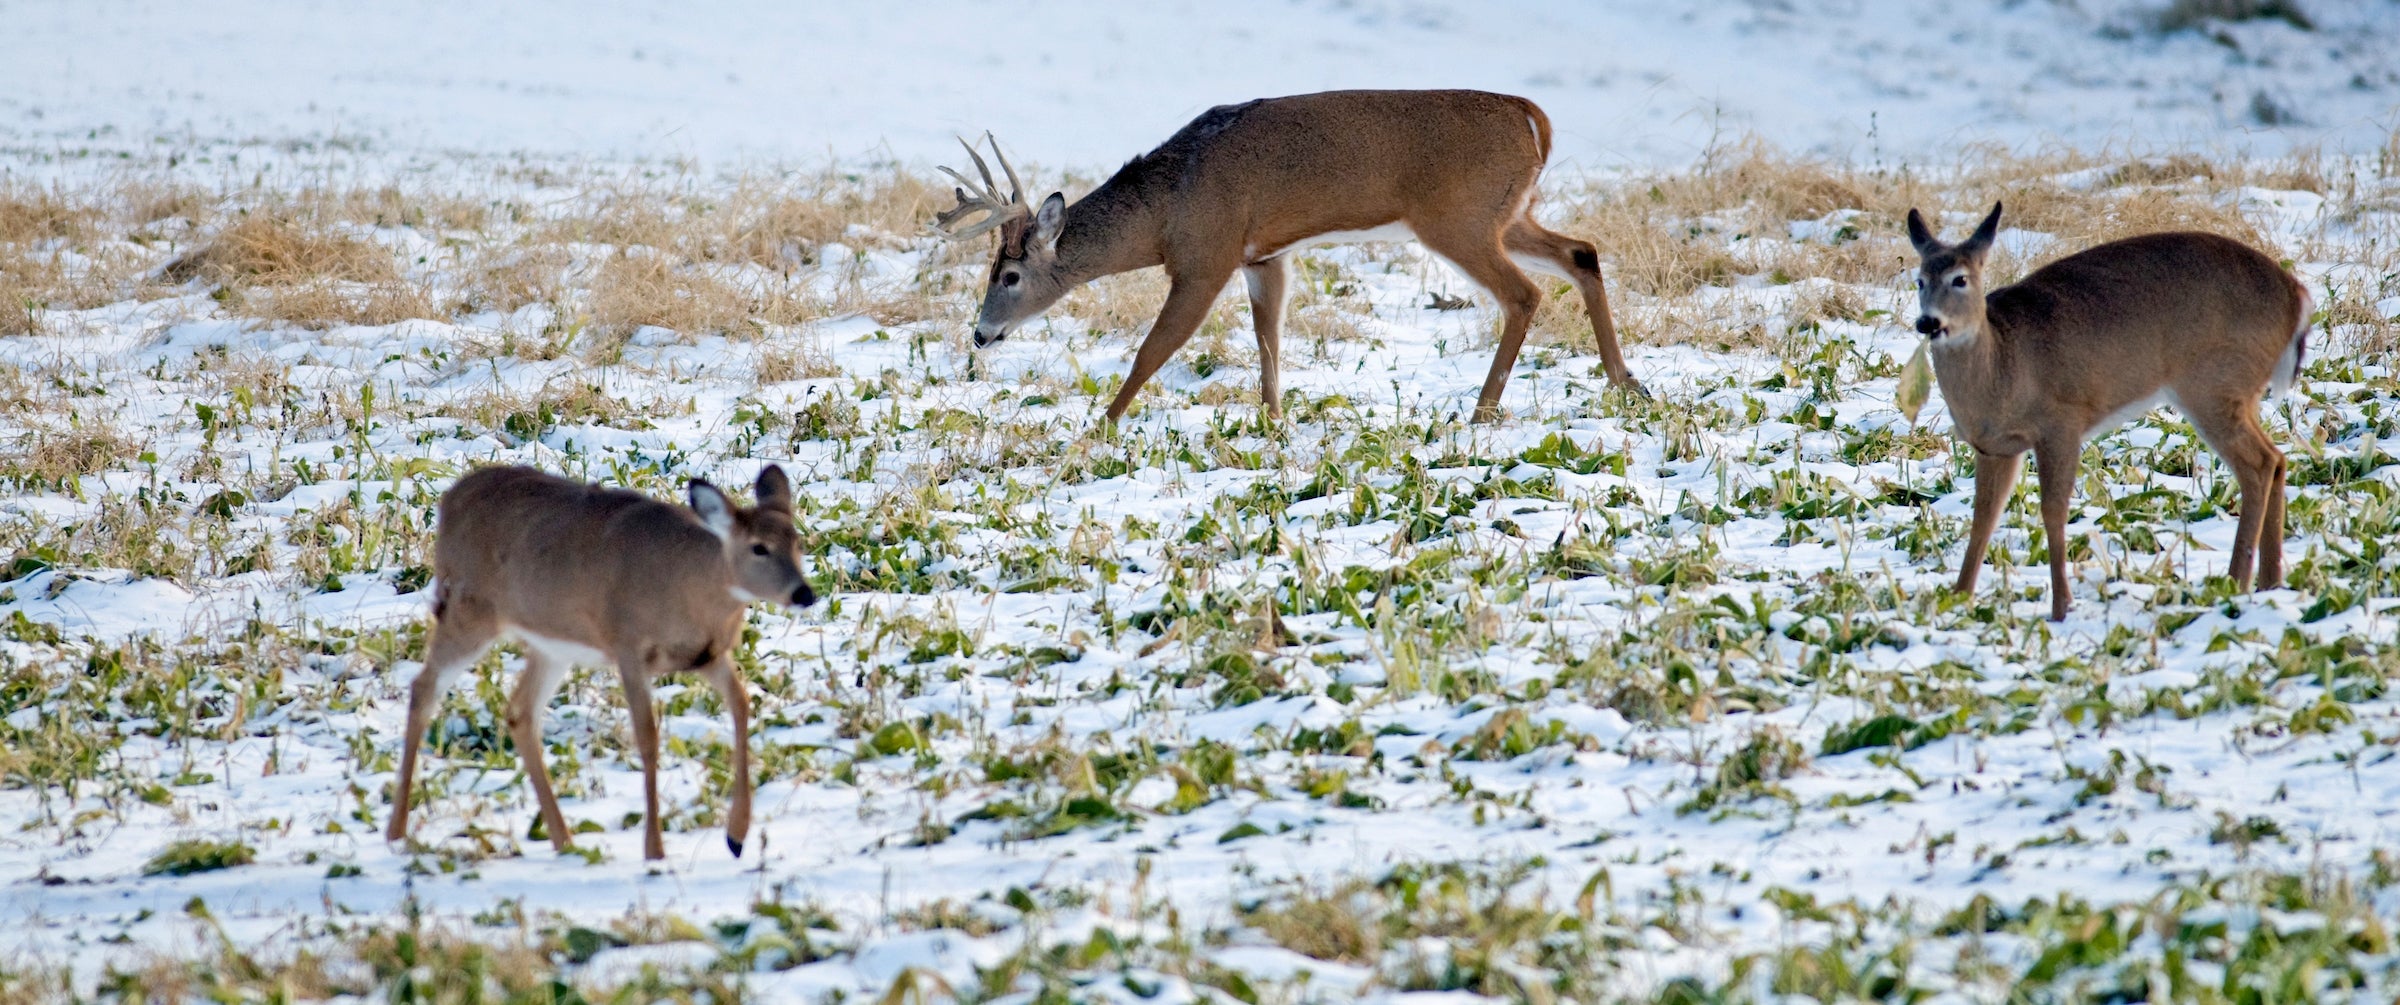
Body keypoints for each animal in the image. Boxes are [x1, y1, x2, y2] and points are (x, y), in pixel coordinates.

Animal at [385, 464, 817, 861]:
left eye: (797, 540)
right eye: (759, 547)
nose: (804, 594)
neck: (689, 584)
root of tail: (450, 499)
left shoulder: (709, 655)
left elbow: (742, 704)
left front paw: (736, 836)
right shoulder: (628, 647)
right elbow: (647, 737)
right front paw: (654, 850)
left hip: (551, 645)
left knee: (520, 711)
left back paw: (564, 840)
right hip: (469, 611)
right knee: (424, 688)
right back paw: (397, 831)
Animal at [930, 89, 1645, 424]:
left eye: (1010, 275)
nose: (981, 334)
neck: (1168, 203)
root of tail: (1532, 117)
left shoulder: (1207, 254)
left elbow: (1153, 350)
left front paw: (1098, 427)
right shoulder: (1262, 257)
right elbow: (1268, 341)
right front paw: (1273, 423)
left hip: (1458, 219)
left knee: (1524, 292)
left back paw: (1482, 410)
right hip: (1507, 214)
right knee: (1581, 252)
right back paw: (1624, 381)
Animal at [1905, 203, 2312, 621]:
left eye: (1960, 279)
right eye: (1919, 280)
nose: (1928, 322)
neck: (2004, 366)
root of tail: (2296, 297)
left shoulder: (2061, 423)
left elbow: (2053, 510)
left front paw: (2061, 606)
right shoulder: (1995, 447)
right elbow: (1984, 516)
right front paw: (1960, 598)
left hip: (2212, 385)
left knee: (2259, 464)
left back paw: (2235, 582)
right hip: (2240, 393)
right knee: (2277, 458)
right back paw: (2269, 581)